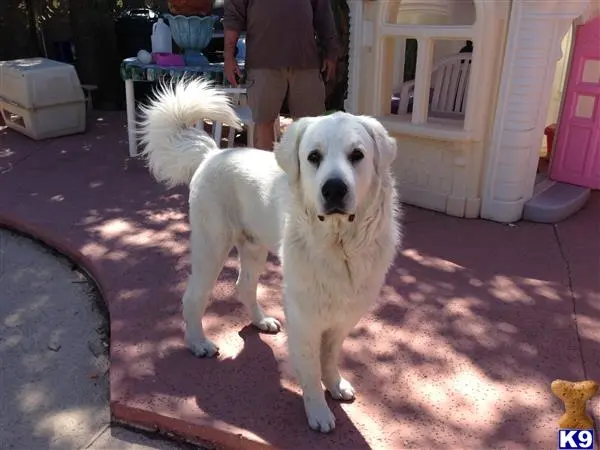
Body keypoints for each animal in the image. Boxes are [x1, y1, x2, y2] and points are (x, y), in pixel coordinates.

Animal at [139, 80, 404, 432]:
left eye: (357, 155)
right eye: (314, 157)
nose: (334, 189)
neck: (338, 243)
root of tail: (213, 153)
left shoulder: (345, 315)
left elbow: (330, 357)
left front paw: (335, 385)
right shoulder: (305, 316)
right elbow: (310, 367)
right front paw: (318, 411)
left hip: (253, 250)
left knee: (243, 287)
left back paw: (260, 321)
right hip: (211, 248)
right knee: (193, 297)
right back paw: (198, 343)